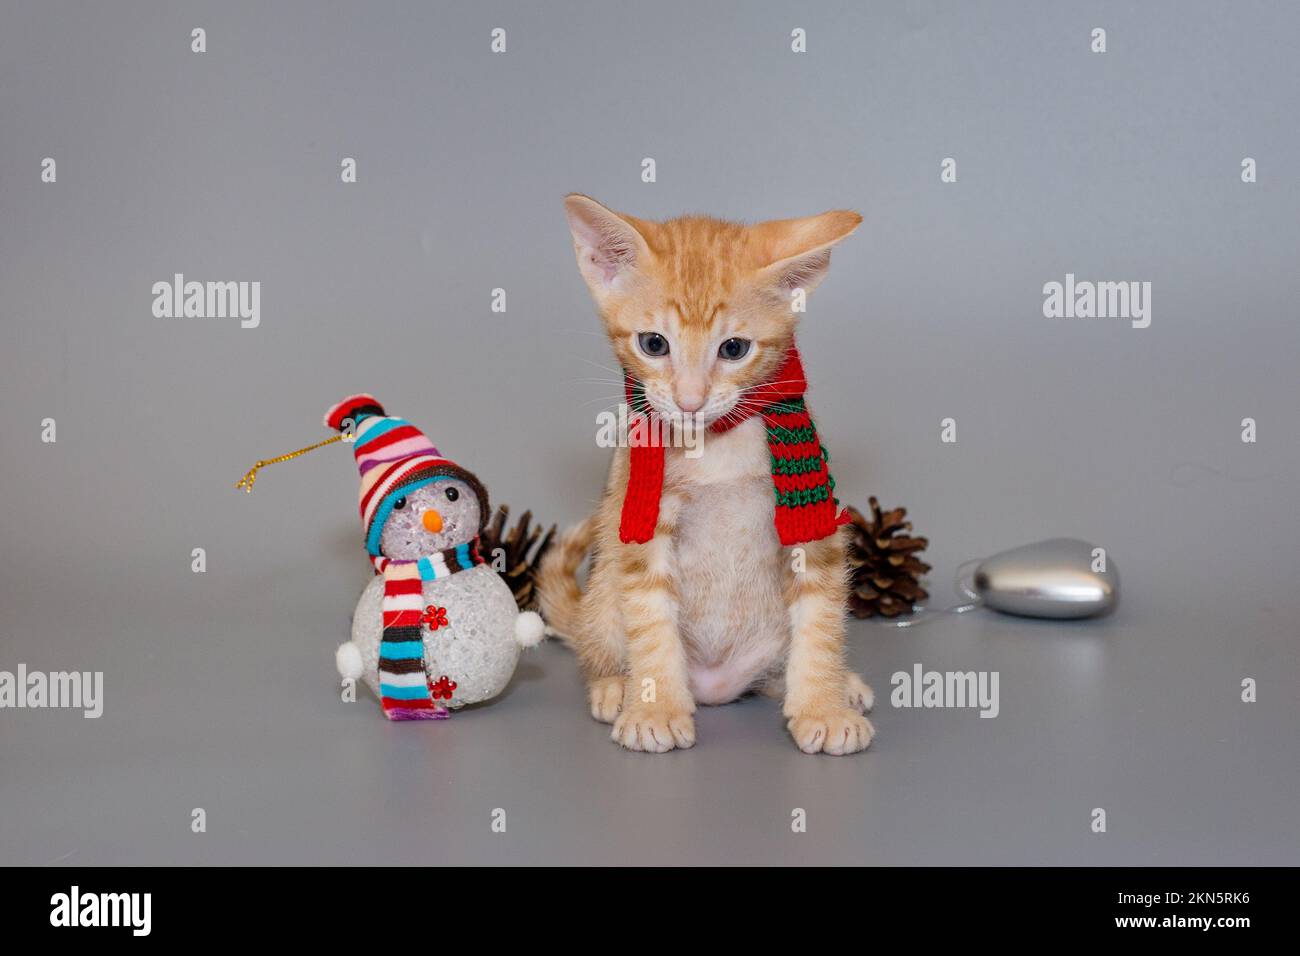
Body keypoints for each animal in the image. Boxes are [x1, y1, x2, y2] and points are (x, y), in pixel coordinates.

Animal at [538, 195, 873, 754]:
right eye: (654, 344)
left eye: (733, 349)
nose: (690, 401)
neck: (715, 445)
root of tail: (719, 686)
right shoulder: (642, 525)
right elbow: (651, 622)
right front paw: (654, 707)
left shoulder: (815, 521)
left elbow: (821, 620)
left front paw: (822, 706)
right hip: (604, 588)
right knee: (600, 637)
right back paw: (614, 684)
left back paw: (836, 683)